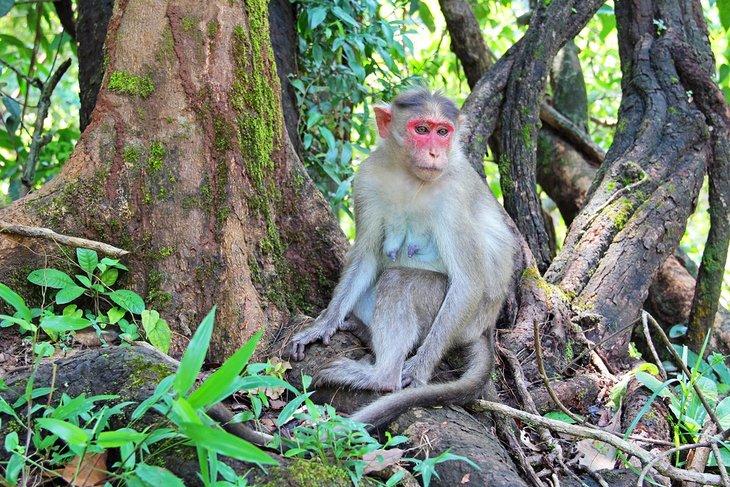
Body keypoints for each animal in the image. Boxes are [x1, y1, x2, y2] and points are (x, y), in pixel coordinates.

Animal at [289, 88, 516, 429]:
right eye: (421, 129)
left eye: (443, 132)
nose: (435, 153)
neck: (410, 176)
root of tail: (487, 326)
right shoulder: (367, 178)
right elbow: (367, 254)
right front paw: (324, 323)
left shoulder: (454, 196)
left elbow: (468, 282)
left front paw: (419, 368)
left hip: (465, 318)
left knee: (400, 281)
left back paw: (381, 376)